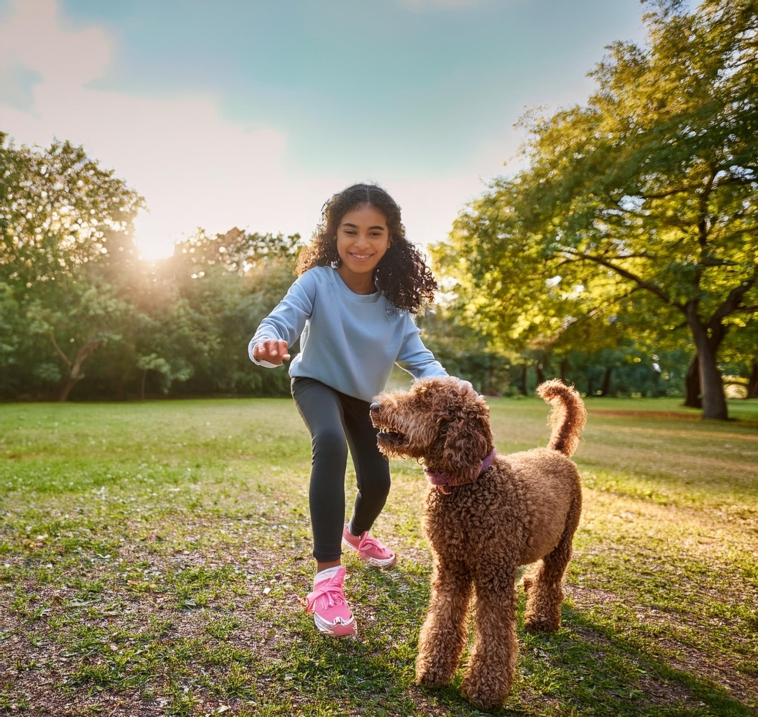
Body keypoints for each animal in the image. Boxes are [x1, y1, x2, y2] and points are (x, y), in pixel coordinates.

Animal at [372, 378, 592, 708]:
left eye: (423, 400)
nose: (374, 406)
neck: (467, 485)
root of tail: (556, 453)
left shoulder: (494, 577)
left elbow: (494, 634)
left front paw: (485, 689)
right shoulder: (451, 568)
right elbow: (443, 618)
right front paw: (434, 670)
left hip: (563, 541)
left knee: (551, 578)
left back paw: (541, 617)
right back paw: (530, 585)